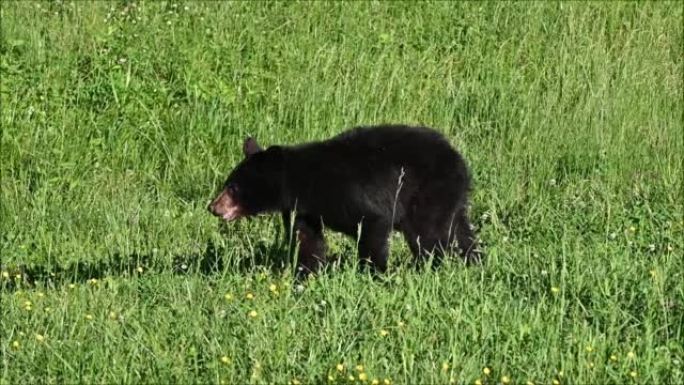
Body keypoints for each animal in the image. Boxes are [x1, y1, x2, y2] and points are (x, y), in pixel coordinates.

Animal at [208, 124, 480, 278]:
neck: (304, 181)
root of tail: (459, 159)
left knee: (428, 234)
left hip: (428, 192)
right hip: (451, 198)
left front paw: (373, 274)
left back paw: (431, 267)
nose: (213, 207)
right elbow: (307, 240)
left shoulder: (348, 191)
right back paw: (473, 260)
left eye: (232, 187)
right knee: (460, 231)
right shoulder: (303, 209)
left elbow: (372, 224)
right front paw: (304, 276)